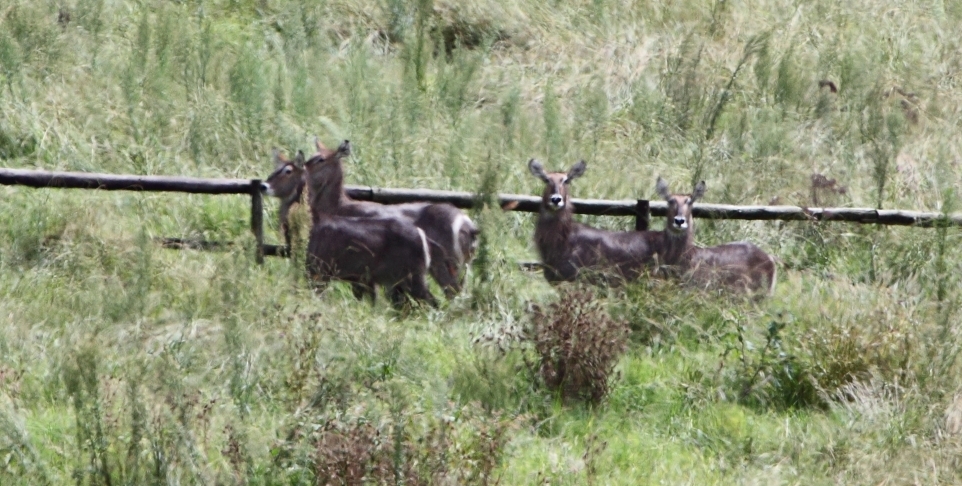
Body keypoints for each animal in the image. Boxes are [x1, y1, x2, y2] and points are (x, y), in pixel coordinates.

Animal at [308, 140, 476, 296]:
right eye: (311, 156)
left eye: (321, 159)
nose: (304, 167)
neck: (340, 207)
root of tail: (468, 225)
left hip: (448, 264)